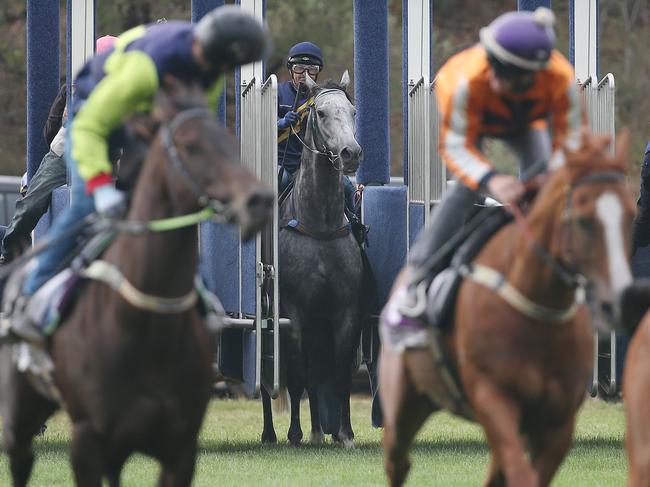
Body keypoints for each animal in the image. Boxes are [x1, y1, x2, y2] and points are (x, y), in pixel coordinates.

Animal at [262, 70, 364, 448]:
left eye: (352, 111)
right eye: (320, 113)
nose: (351, 153)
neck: (319, 225)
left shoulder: (345, 311)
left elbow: (339, 371)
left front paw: (345, 433)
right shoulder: (293, 313)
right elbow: (295, 374)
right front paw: (295, 432)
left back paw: (321, 430)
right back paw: (271, 433)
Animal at [378, 132, 632, 486]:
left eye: (631, 215)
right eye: (582, 219)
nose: (616, 298)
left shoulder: (558, 423)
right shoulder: (493, 399)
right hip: (403, 403)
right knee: (397, 460)